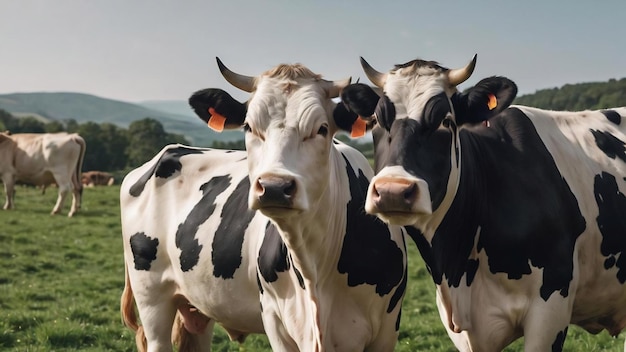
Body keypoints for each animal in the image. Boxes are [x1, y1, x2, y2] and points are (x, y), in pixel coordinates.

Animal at [119, 58, 408, 352]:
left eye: (322, 129)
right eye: (249, 127)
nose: (274, 187)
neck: (315, 271)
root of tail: (169, 151)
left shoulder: (387, 329)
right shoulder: (275, 321)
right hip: (151, 296)